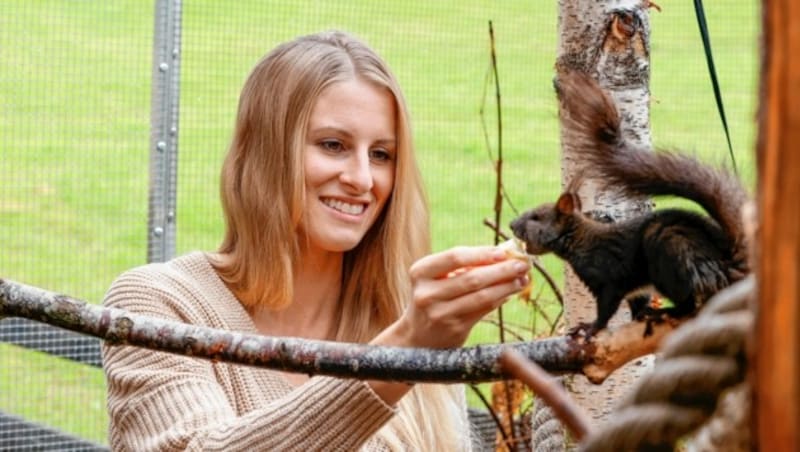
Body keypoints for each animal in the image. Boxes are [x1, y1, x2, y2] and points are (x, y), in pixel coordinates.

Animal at [512, 71, 752, 336]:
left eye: (536, 217)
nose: (512, 225)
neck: (581, 241)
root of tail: (726, 260)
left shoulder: (608, 277)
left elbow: (607, 307)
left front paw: (592, 327)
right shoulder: (631, 290)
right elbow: (636, 301)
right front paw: (635, 316)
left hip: (671, 253)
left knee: (688, 304)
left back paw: (667, 311)